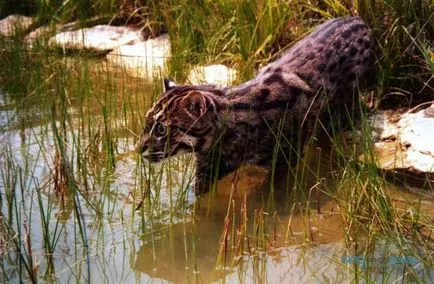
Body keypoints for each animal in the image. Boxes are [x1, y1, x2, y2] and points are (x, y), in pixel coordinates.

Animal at [138, 16, 372, 195]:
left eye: (161, 129)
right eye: (146, 122)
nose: (137, 148)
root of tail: (358, 19)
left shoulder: (284, 160)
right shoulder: (206, 170)